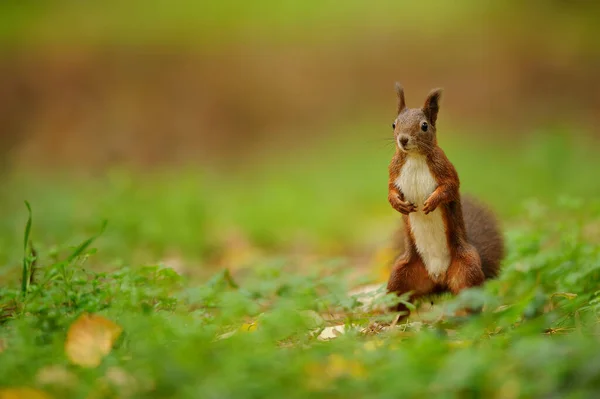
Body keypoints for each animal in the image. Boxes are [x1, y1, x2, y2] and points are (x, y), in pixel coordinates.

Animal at [386, 83, 504, 318]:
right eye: (394, 123)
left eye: (424, 126)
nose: (403, 139)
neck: (414, 158)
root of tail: (438, 280)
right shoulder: (394, 173)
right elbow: (390, 190)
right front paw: (398, 204)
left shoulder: (446, 171)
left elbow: (449, 188)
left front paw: (432, 202)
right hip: (400, 276)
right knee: (399, 302)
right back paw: (393, 321)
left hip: (467, 270)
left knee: (470, 300)